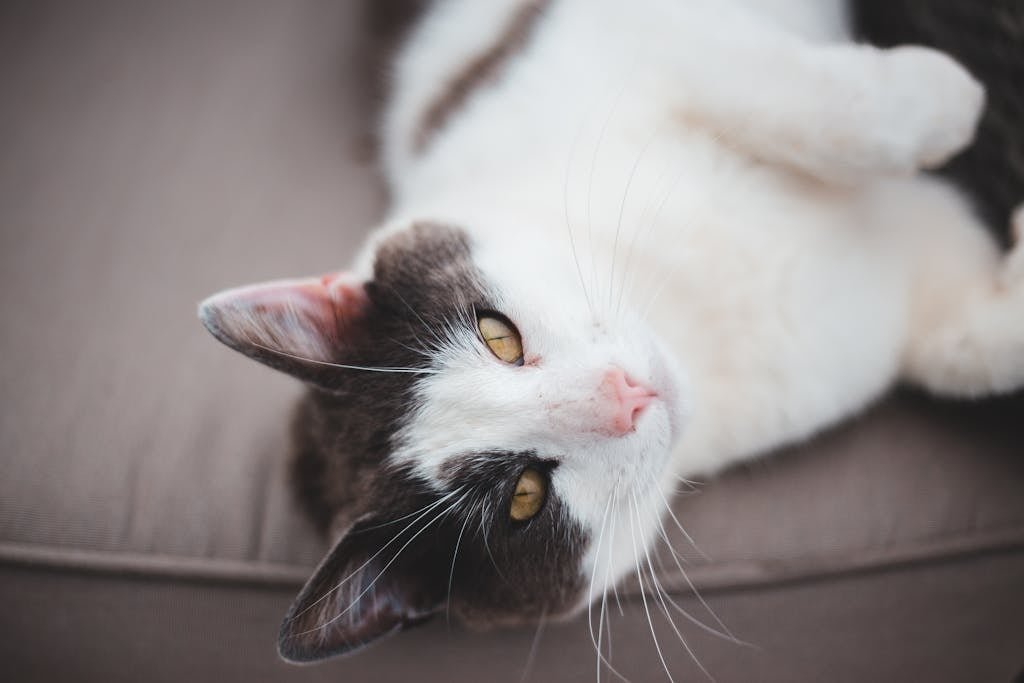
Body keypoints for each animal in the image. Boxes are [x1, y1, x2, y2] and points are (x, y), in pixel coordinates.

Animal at [195, 0, 1019, 667]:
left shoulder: (623, 39)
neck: (695, 319)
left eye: (497, 336)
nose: (626, 394)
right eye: (525, 497)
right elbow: (964, 347)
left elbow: (757, 79)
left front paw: (945, 97)